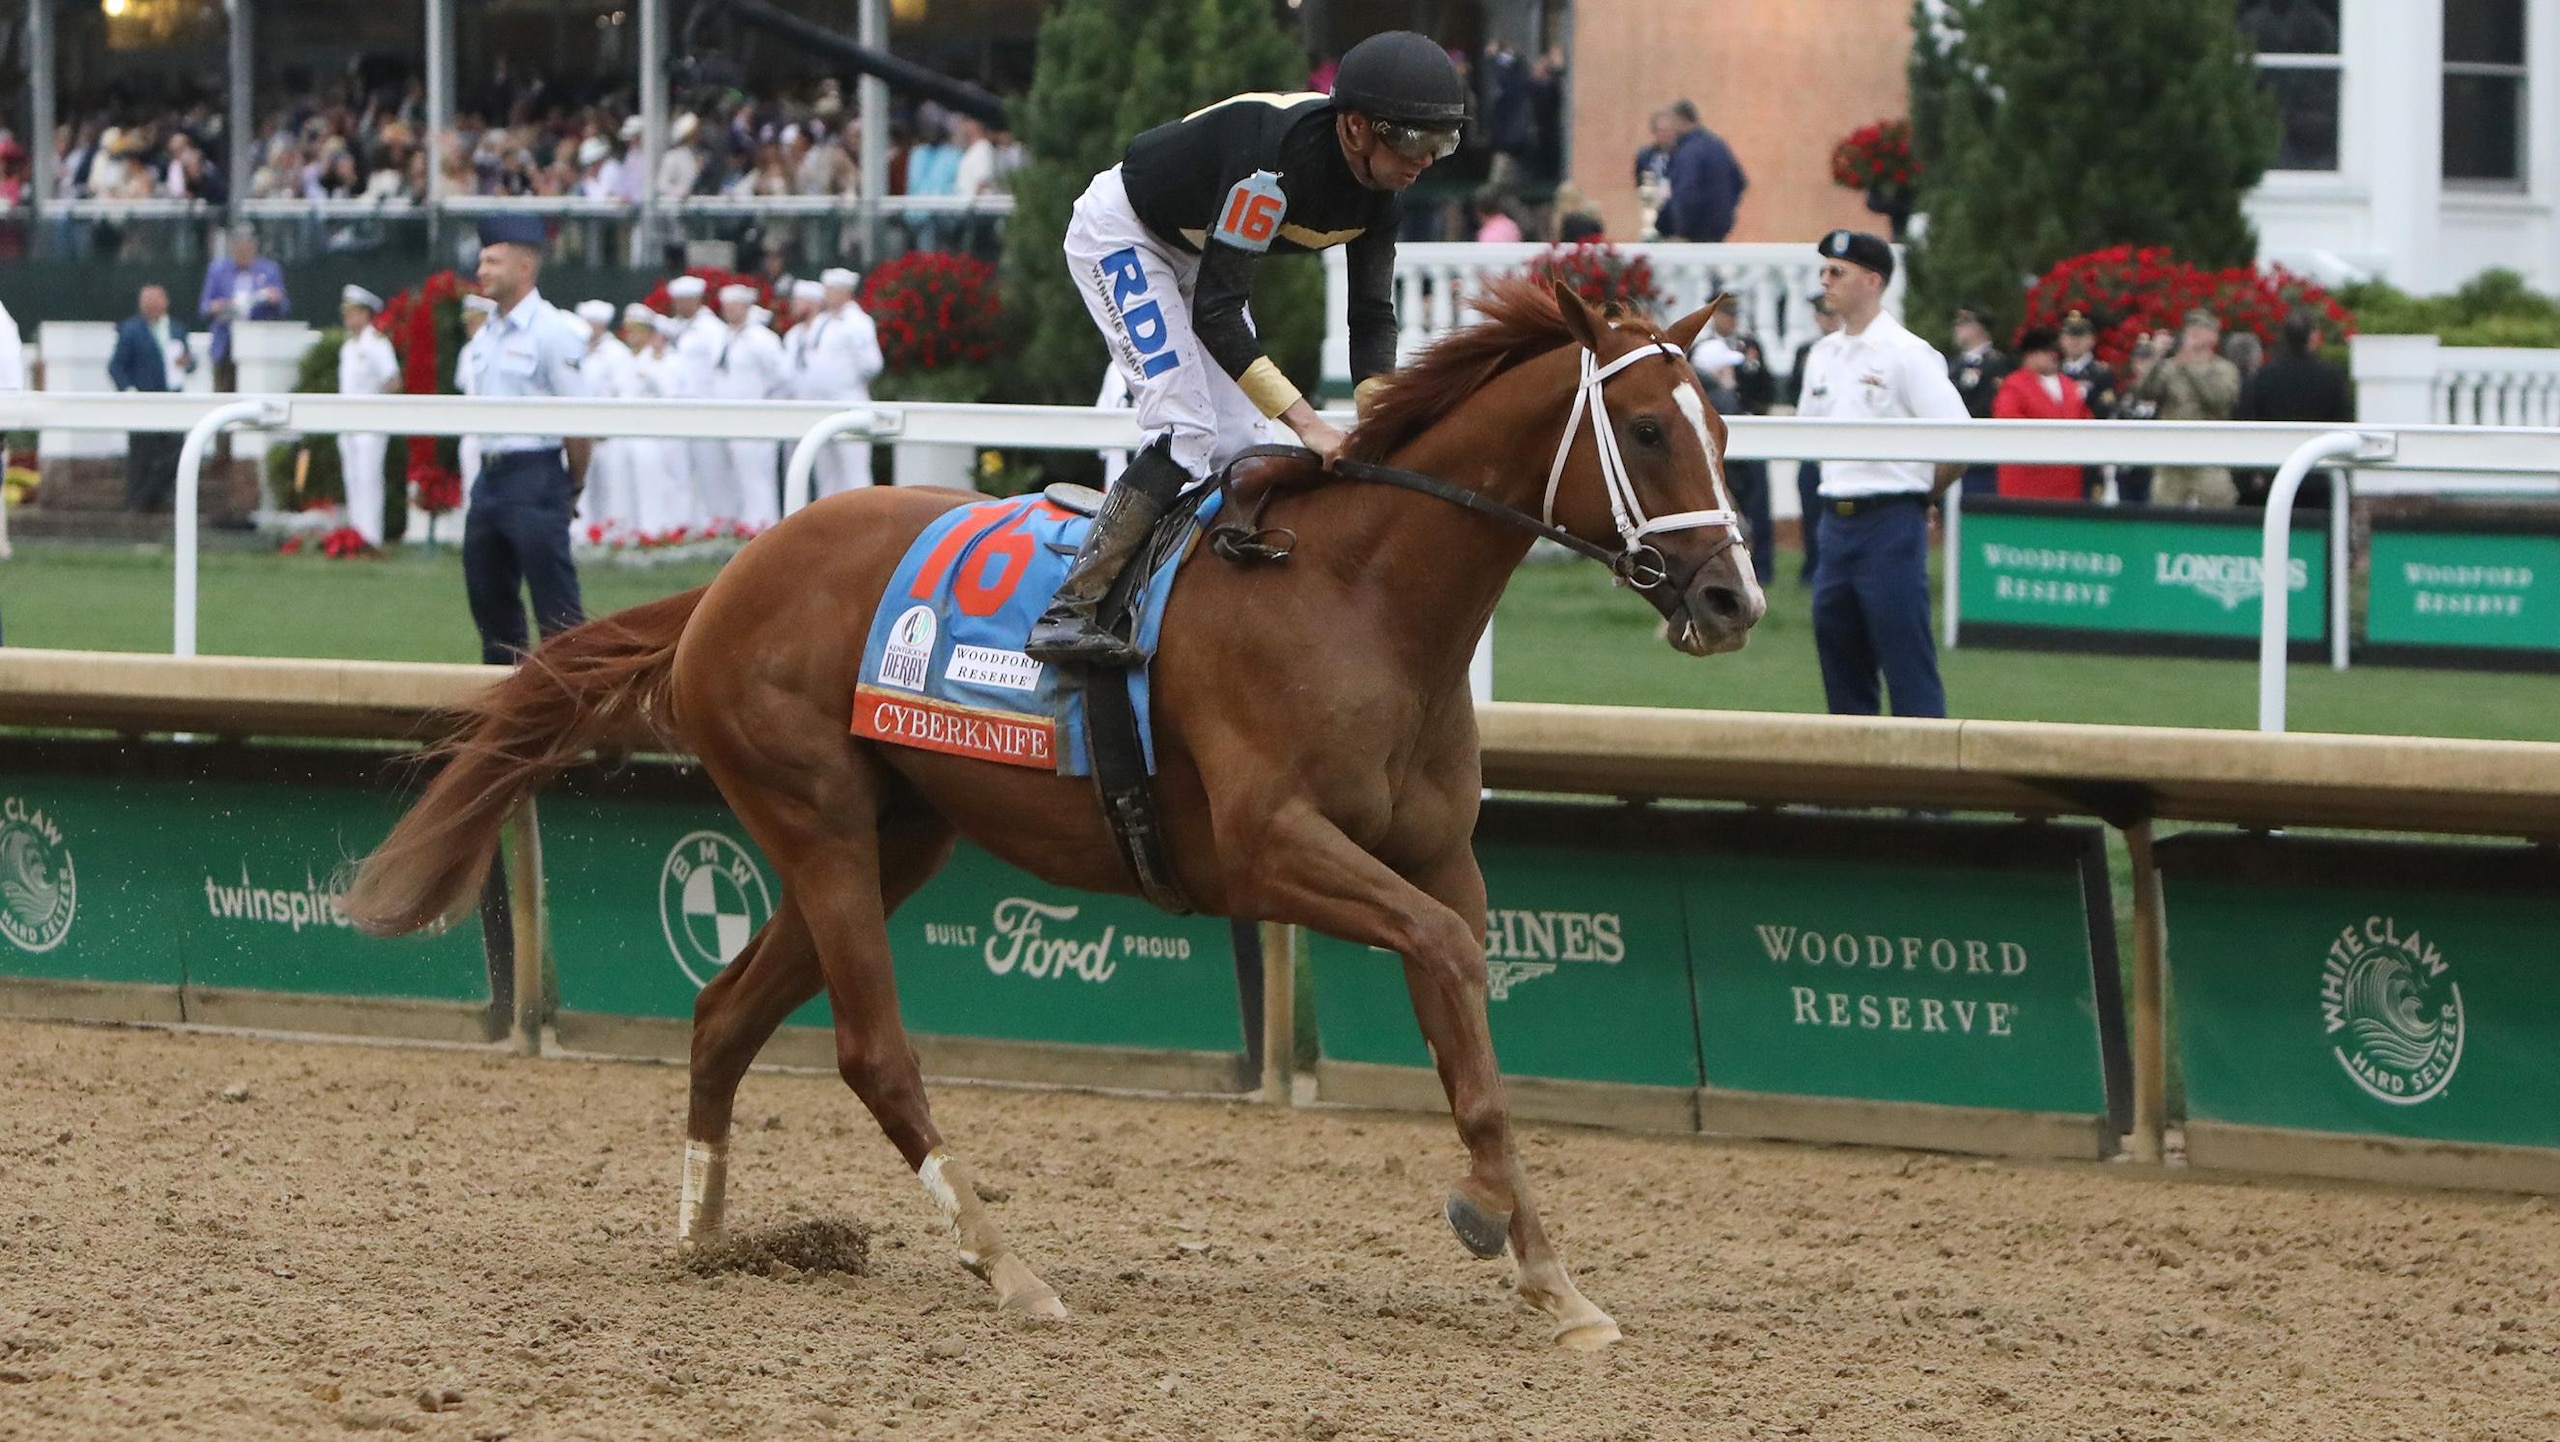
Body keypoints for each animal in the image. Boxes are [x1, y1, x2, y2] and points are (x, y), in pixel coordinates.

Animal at [348, 277, 1766, 1350]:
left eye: (1722, 424)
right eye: (1646, 429)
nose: (1732, 598)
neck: (1360, 595)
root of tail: (728, 582)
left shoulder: (1436, 857)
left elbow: (1467, 1013)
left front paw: (1552, 1279)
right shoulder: (1270, 849)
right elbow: (1450, 953)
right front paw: (1484, 1220)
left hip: (893, 836)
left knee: (723, 1012)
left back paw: (704, 1234)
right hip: (816, 819)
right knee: (871, 1050)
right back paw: (1006, 1264)